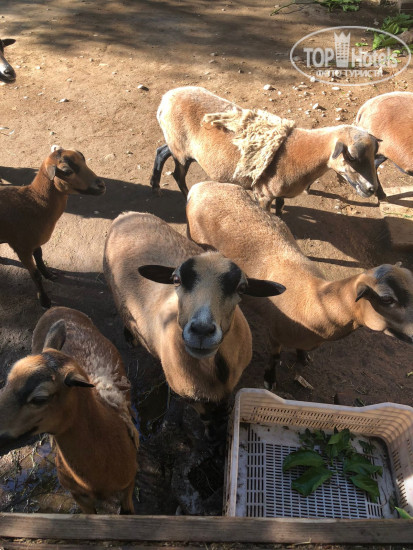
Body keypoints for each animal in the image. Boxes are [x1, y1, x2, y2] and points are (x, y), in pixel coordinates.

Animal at [0, 146, 105, 308]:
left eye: (84, 160)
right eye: (67, 171)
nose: (101, 185)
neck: (35, 201)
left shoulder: (35, 241)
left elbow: (40, 257)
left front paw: (50, 275)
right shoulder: (22, 248)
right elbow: (35, 275)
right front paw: (45, 301)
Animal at [103, 212, 284, 438]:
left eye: (242, 288)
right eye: (176, 279)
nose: (202, 330)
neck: (215, 369)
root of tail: (127, 214)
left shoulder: (229, 386)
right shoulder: (188, 396)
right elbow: (206, 416)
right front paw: (213, 433)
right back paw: (130, 337)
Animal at [150, 86, 379, 215]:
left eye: (373, 157)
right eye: (351, 157)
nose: (372, 189)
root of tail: (165, 99)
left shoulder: (279, 192)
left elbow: (280, 207)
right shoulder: (263, 194)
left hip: (177, 144)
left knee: (161, 151)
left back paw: (155, 186)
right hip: (182, 151)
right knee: (178, 174)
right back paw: (184, 195)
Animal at [186, 182, 413, 388]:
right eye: (387, 299)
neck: (316, 301)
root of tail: (201, 187)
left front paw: (302, 357)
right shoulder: (275, 333)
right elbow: (274, 358)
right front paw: (270, 379)